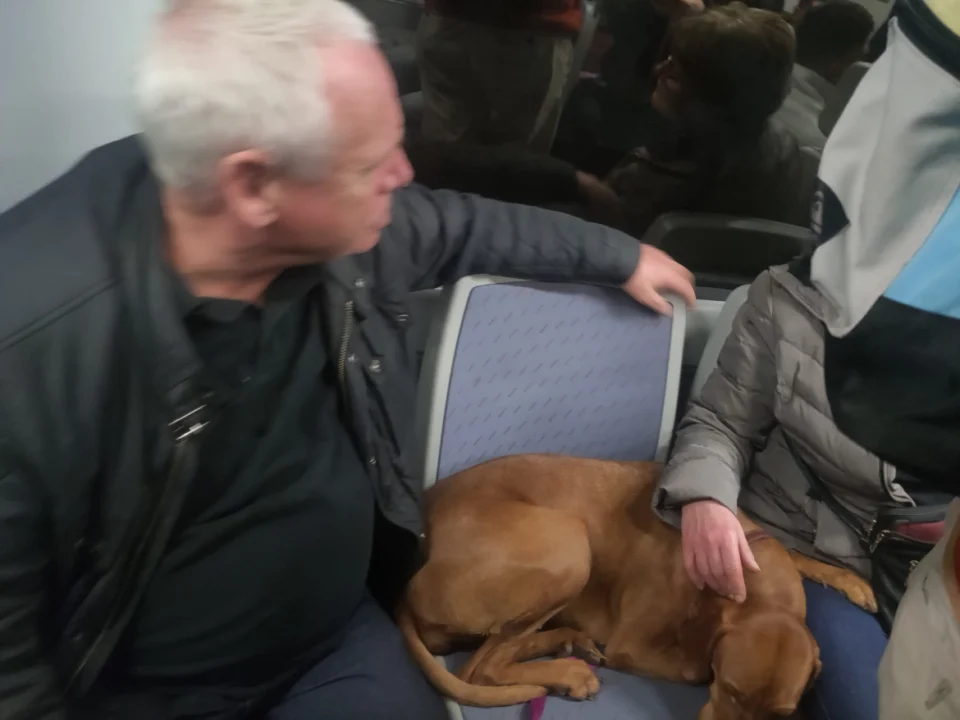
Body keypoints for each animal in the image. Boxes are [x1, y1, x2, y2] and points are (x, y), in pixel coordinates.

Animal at [398, 458, 876, 716]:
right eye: (730, 690)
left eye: (780, 715)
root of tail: (424, 543)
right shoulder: (632, 645)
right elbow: (693, 667)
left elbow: (799, 557)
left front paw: (852, 581)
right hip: (570, 546)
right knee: (480, 668)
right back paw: (568, 672)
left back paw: (569, 642)